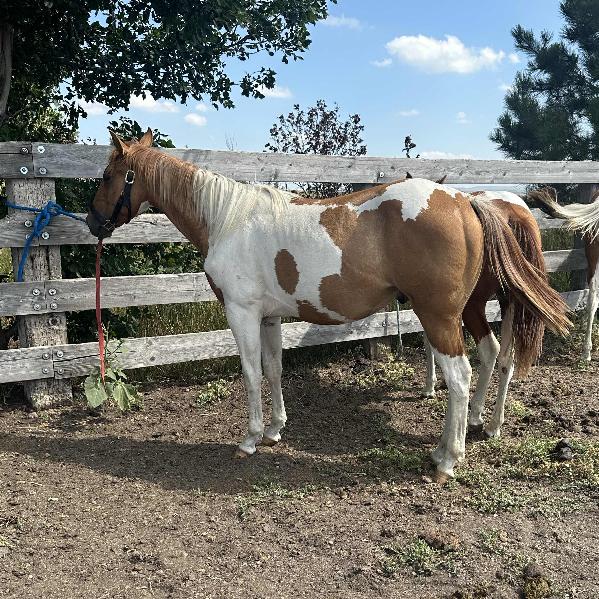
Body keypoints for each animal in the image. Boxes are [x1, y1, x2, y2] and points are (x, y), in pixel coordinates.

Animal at [421, 189, 549, 439]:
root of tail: (512, 213)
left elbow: (429, 343)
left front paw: (429, 386)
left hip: (474, 305)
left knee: (490, 349)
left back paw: (475, 415)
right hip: (510, 301)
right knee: (506, 359)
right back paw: (493, 425)